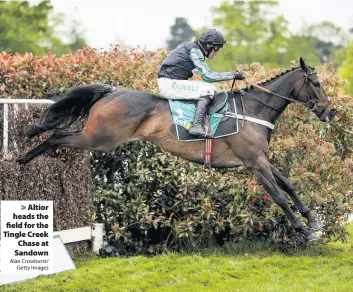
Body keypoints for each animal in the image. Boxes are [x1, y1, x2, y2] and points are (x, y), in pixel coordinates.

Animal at [17, 57, 336, 242]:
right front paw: (305, 232)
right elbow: (279, 197)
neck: (254, 110)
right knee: (58, 135)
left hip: (98, 137)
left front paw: (313, 220)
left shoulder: (261, 159)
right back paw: (22, 157)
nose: (331, 111)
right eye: (316, 82)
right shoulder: (253, 162)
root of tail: (111, 92)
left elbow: (290, 186)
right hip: (100, 138)